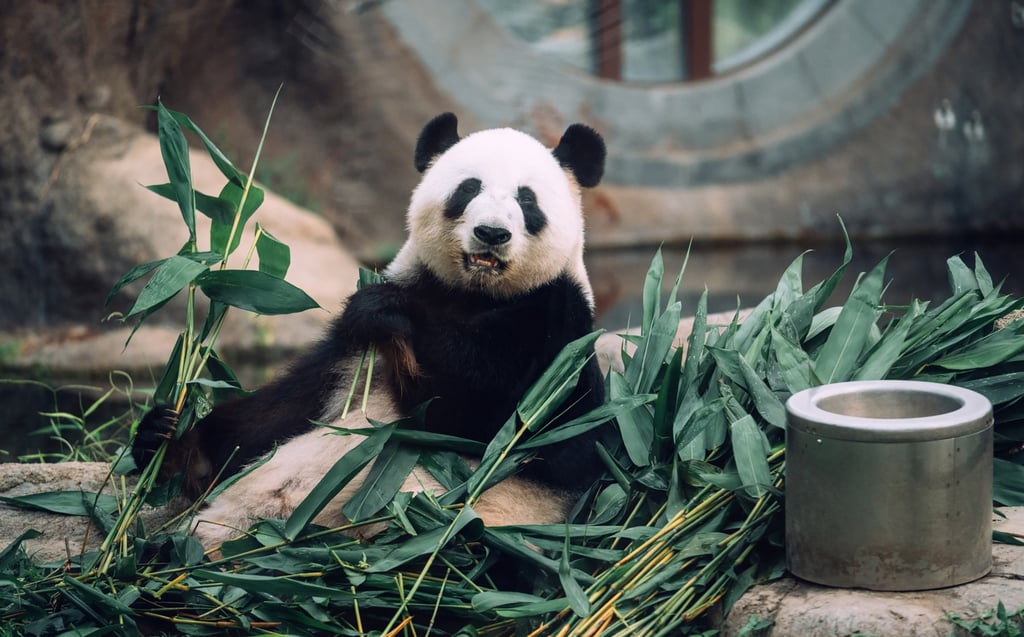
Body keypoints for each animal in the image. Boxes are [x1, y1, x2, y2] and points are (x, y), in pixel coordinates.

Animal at [131, 112, 602, 553]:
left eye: (527, 199)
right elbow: (275, 415)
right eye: (469, 189)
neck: (473, 295)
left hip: (487, 530)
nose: (491, 233)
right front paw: (168, 441)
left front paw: (389, 312)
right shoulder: (348, 352)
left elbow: (493, 421)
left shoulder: (557, 333)